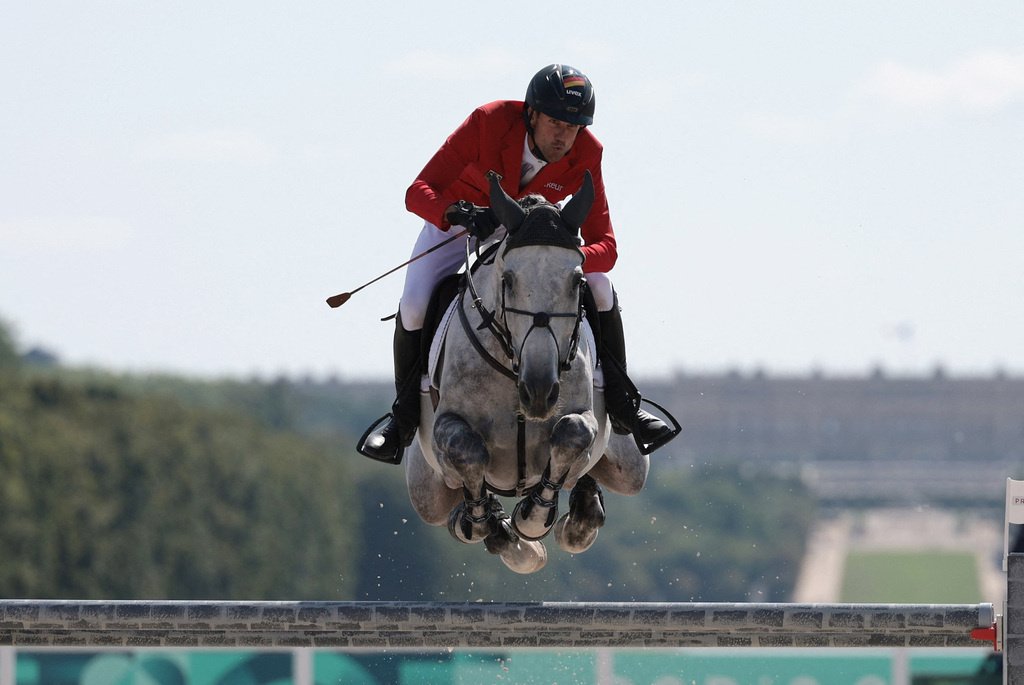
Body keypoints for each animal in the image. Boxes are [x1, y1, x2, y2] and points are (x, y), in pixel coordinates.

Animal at [401, 169, 647, 573]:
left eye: (577, 281)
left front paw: (534, 517)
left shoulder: (582, 417)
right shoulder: (446, 425)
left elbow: (574, 432)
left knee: (605, 475)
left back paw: (580, 517)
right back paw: (494, 530)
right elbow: (466, 449)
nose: (538, 393)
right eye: (508, 279)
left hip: (631, 464)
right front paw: (495, 524)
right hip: (426, 490)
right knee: (451, 506)